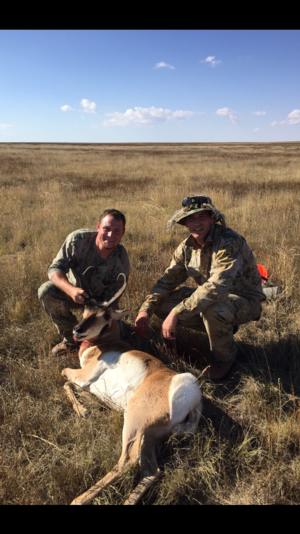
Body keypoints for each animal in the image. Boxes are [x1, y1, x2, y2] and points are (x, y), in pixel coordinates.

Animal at [61, 276, 202, 506]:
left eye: (105, 315)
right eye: (86, 309)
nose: (77, 330)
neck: (106, 343)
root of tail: (193, 395)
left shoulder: (84, 377)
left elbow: (65, 377)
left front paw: (83, 411)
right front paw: (85, 409)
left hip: (134, 423)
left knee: (127, 461)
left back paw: (79, 499)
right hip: (150, 436)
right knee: (152, 472)